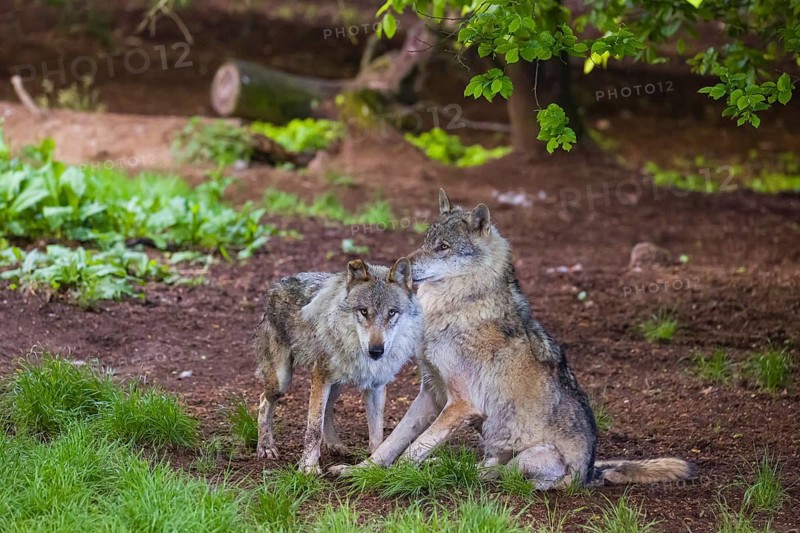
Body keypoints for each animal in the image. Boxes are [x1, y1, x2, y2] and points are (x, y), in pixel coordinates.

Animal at [254, 257, 423, 473]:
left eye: (392, 313)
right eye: (364, 311)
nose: (376, 351)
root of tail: (276, 285)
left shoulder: (376, 387)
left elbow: (377, 432)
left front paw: (373, 465)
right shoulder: (320, 376)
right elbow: (313, 427)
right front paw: (308, 468)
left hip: (337, 385)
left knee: (327, 409)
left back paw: (334, 444)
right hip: (282, 382)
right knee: (263, 401)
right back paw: (266, 446)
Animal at [331, 190, 695, 489]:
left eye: (443, 248)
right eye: (425, 241)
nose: (401, 264)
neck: (457, 306)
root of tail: (590, 473)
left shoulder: (462, 403)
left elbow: (413, 448)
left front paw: (394, 477)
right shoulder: (431, 393)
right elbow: (393, 442)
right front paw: (362, 471)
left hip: (530, 456)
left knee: (494, 474)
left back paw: (450, 473)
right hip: (495, 441)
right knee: (482, 465)